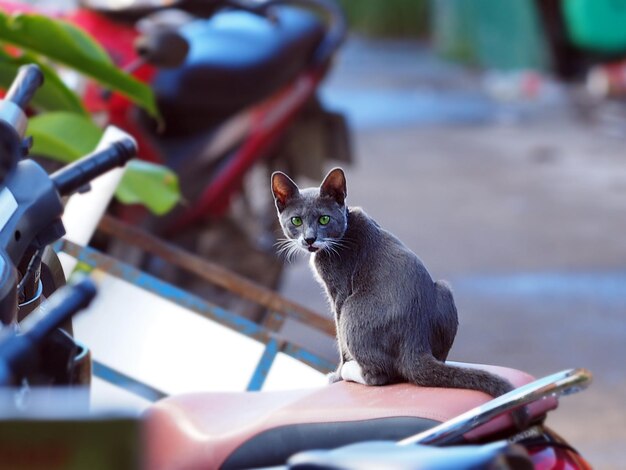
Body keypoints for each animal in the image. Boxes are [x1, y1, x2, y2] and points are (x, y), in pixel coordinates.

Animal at [270, 168, 520, 404]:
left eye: (324, 219)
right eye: (296, 221)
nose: (309, 239)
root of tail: (415, 342)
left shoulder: (339, 289)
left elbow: (340, 341)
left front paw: (337, 374)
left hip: (352, 309)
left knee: (378, 375)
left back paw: (351, 371)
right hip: (443, 289)